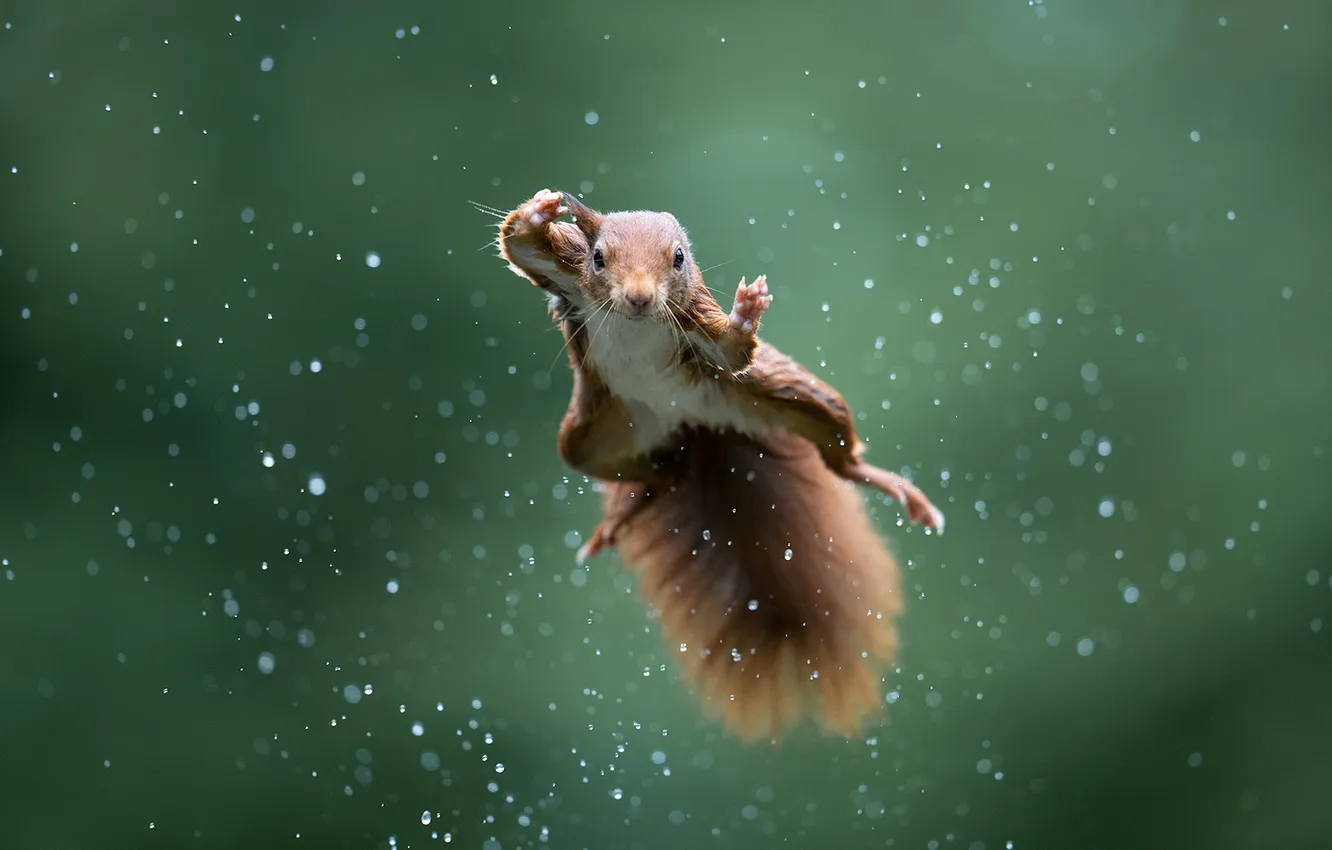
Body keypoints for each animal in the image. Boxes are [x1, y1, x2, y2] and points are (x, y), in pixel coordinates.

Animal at [495, 189, 943, 740]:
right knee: (660, 474)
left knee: (838, 456)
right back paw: (623, 515)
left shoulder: (695, 324)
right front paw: (540, 210)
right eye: (599, 258)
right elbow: (520, 246)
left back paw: (898, 489)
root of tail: (693, 424)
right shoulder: (567, 275)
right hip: (592, 436)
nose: (639, 298)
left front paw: (746, 312)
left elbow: (731, 350)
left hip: (790, 397)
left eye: (678, 259)